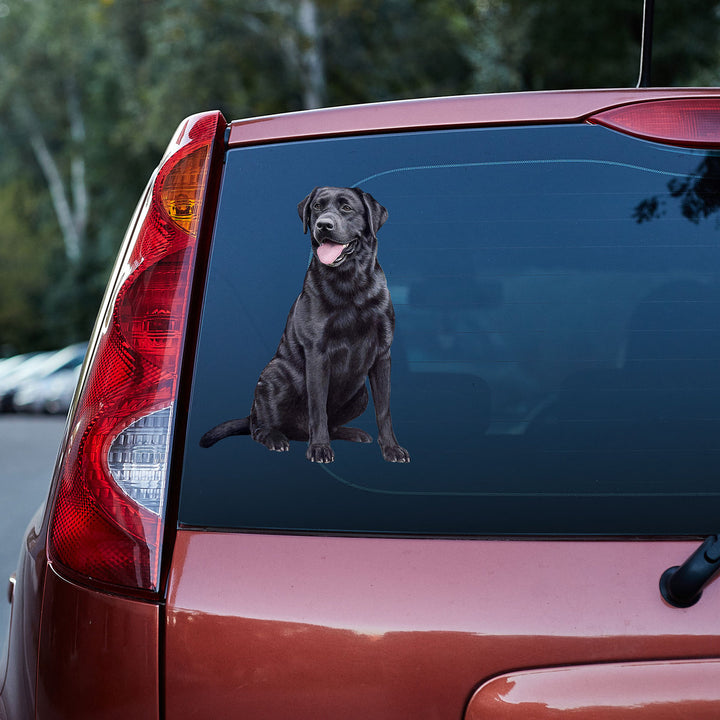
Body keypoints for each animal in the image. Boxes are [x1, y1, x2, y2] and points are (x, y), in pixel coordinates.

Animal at [198, 186, 410, 464]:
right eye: (317, 207)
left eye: (346, 208)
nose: (324, 225)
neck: (350, 284)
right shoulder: (317, 353)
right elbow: (318, 408)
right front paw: (319, 448)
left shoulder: (382, 353)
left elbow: (384, 410)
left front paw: (392, 448)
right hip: (274, 375)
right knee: (258, 425)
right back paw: (275, 438)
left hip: (360, 394)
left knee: (332, 423)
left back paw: (351, 432)